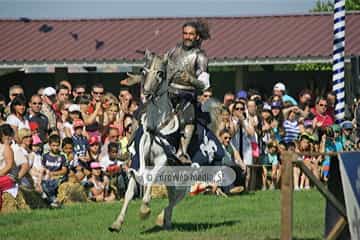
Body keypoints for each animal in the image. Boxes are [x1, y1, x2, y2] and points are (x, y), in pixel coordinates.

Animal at [109, 50, 188, 231]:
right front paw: (117, 222)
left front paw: (144, 209)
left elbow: (151, 179)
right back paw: (165, 221)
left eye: (161, 73)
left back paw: (162, 218)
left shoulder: (162, 160)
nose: (146, 94)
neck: (154, 128)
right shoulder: (136, 161)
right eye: (143, 71)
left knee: (177, 196)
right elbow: (129, 193)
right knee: (173, 194)